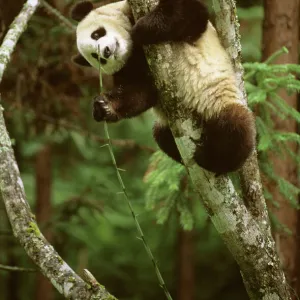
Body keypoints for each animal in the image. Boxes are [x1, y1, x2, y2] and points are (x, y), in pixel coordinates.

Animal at [70, 0, 255, 175]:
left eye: (96, 34)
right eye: (96, 57)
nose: (106, 52)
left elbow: (191, 13)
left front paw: (142, 29)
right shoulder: (128, 66)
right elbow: (141, 91)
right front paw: (105, 107)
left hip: (217, 97)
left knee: (234, 128)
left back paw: (212, 160)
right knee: (161, 136)